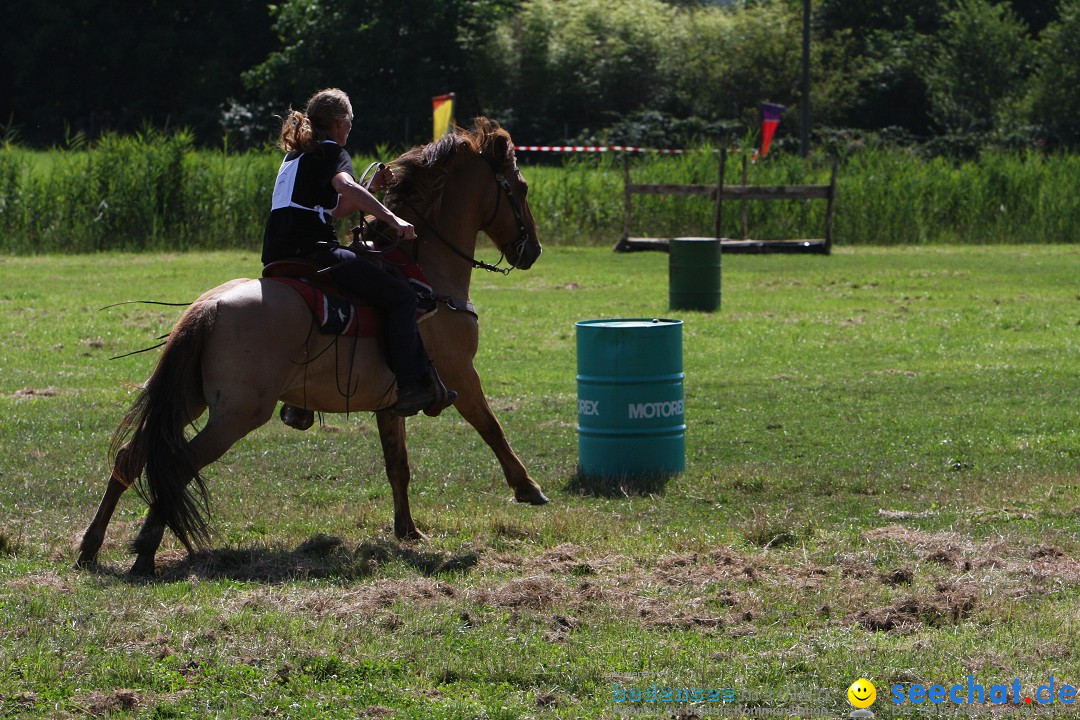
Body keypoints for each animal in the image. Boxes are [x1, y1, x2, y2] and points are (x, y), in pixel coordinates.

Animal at [78, 119, 548, 578]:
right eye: (521, 188)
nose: (533, 251)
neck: (426, 271)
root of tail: (209, 307)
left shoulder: (392, 400)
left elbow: (398, 464)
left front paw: (408, 530)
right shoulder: (459, 373)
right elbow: (491, 427)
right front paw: (528, 488)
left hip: (191, 399)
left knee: (132, 458)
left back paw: (91, 547)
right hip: (237, 415)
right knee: (175, 465)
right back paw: (144, 550)